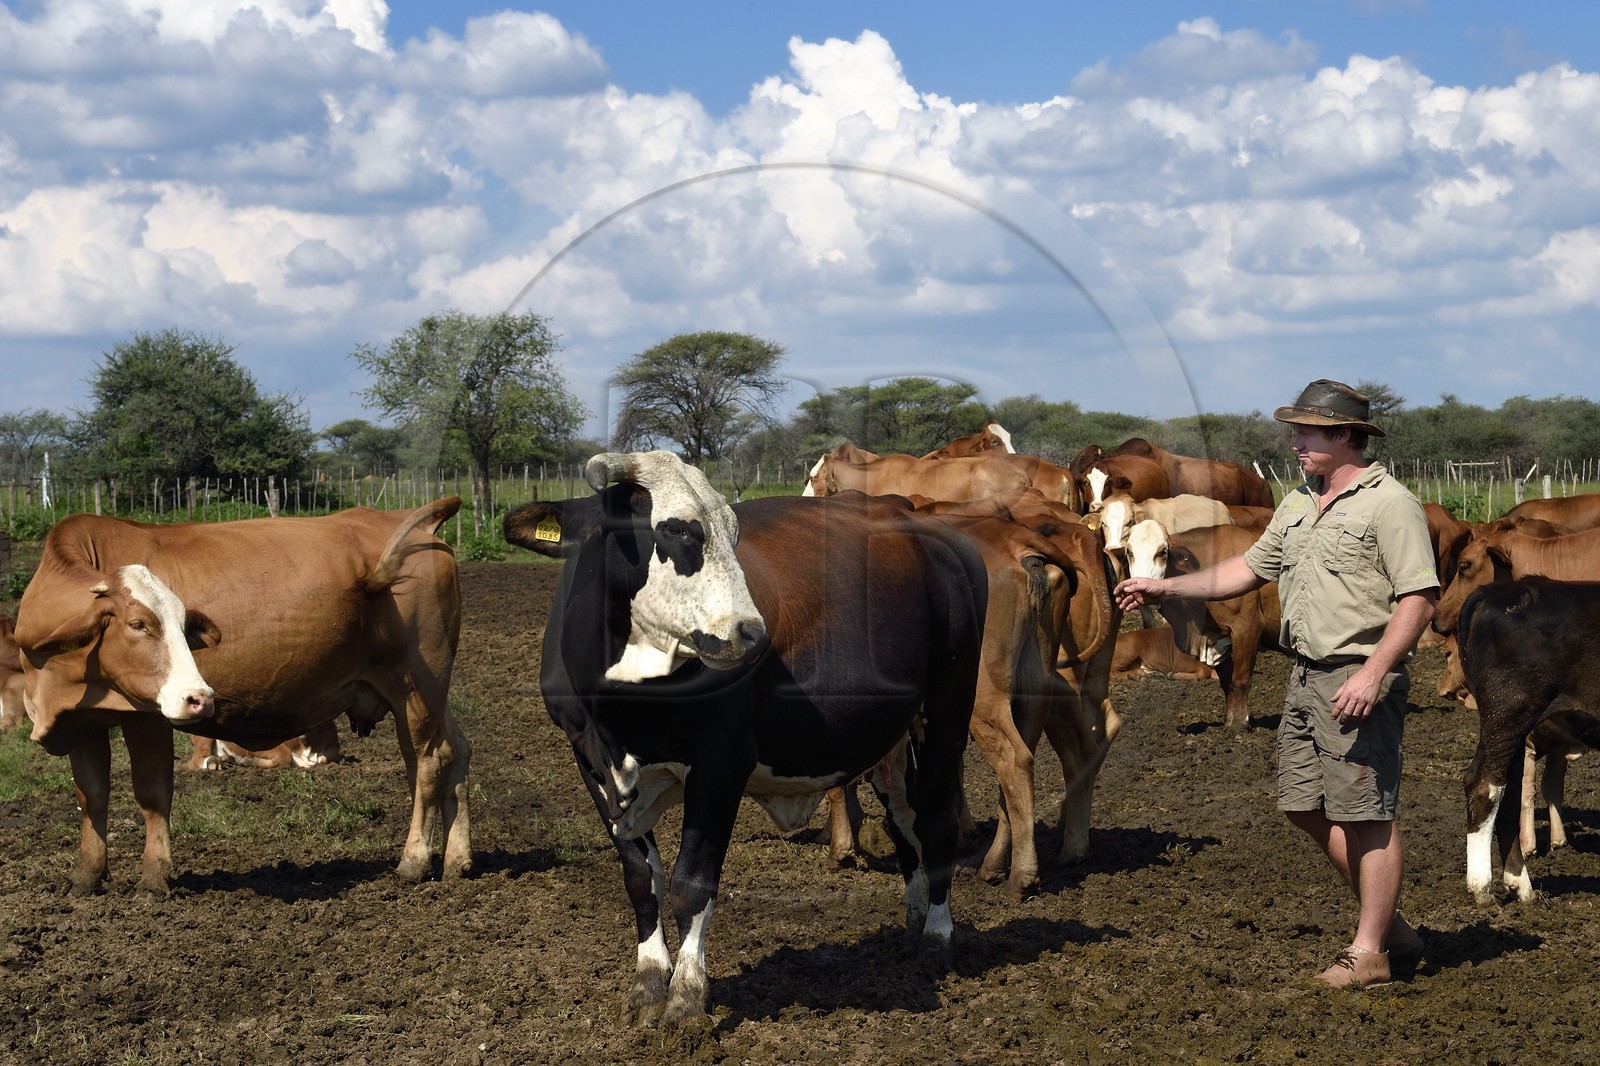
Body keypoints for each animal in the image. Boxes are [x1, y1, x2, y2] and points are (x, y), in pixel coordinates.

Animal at [15, 498, 469, 895]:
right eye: (138, 624)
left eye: (184, 623)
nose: (199, 697)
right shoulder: (82, 722)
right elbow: (91, 796)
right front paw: (84, 877)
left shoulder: (146, 717)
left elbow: (152, 792)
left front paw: (154, 877)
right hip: (430, 688)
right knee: (452, 752)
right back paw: (456, 860)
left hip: (416, 684)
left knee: (428, 761)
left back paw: (413, 860)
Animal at [505, 452, 985, 1029]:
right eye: (675, 530)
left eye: (732, 534)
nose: (751, 633)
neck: (622, 706)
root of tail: (925, 524)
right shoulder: (588, 758)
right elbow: (641, 877)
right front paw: (649, 981)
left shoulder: (721, 761)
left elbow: (692, 883)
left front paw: (687, 997)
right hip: (893, 737)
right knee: (904, 821)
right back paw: (913, 926)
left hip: (948, 709)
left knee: (935, 818)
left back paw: (936, 937)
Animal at [1457, 578, 1600, 903]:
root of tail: (1505, 589)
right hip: (1508, 712)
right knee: (1483, 785)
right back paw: (1482, 887)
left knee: (1508, 796)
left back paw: (1520, 885)